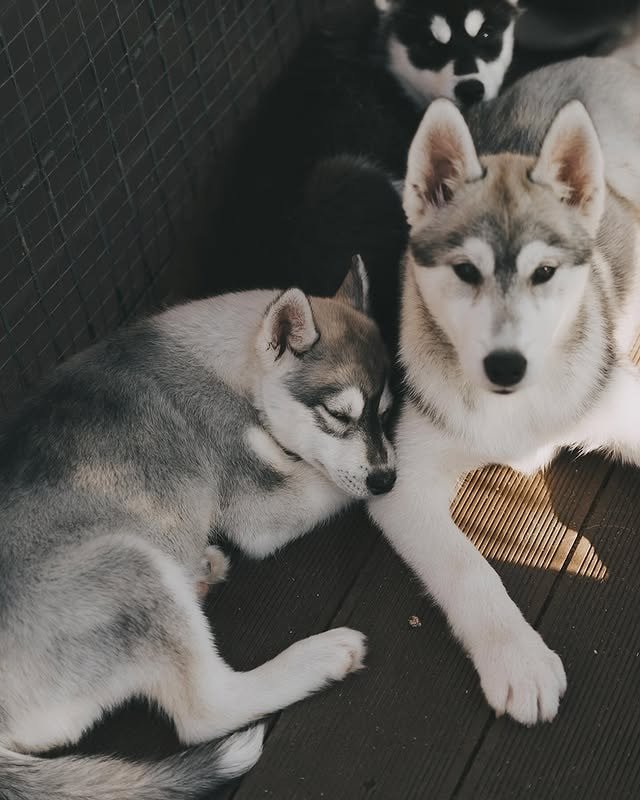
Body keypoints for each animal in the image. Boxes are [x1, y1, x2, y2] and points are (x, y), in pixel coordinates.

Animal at [0, 260, 396, 796]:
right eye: (338, 414)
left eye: (386, 411)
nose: (386, 479)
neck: (223, 361)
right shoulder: (262, 503)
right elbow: (327, 483)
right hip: (128, 567)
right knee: (207, 711)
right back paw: (318, 656)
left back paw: (200, 569)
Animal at [368, 56, 640, 724]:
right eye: (466, 271)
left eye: (544, 273)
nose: (506, 368)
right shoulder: (401, 482)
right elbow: (470, 568)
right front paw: (517, 658)